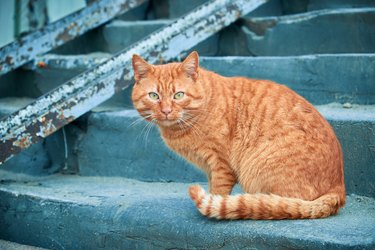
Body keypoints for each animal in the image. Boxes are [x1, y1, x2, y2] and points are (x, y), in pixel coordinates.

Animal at [131, 51, 346, 220]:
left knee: (278, 203)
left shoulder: (221, 164)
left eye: (178, 95)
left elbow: (218, 191)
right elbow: (212, 188)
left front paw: (213, 206)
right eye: (154, 96)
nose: (166, 111)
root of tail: (339, 187)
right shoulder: (209, 167)